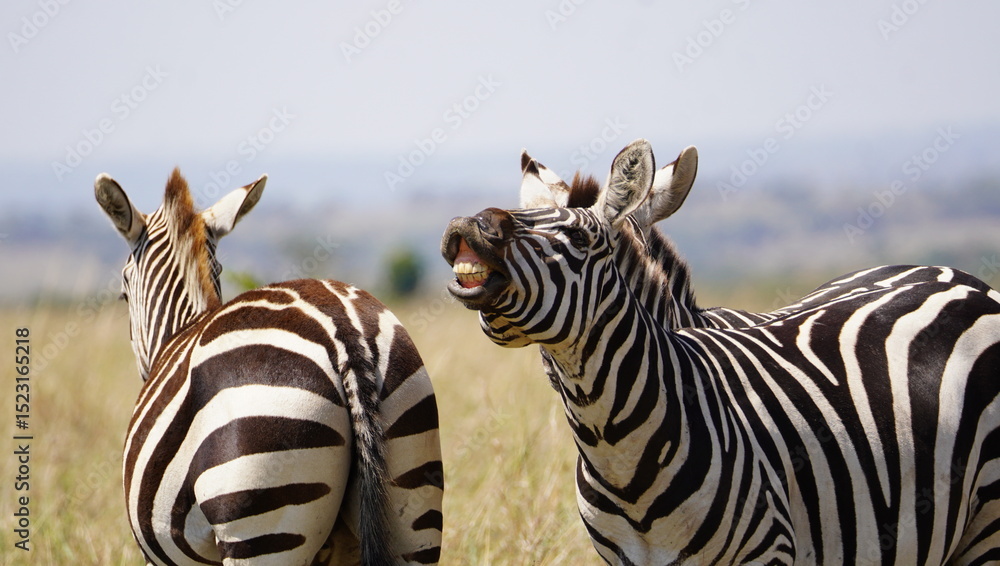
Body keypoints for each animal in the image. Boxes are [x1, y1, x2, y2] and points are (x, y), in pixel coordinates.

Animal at [442, 139, 1000, 564]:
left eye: (578, 237)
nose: (472, 225)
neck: (616, 450)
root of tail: (949, 273)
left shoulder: (769, 552)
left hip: (987, 522)